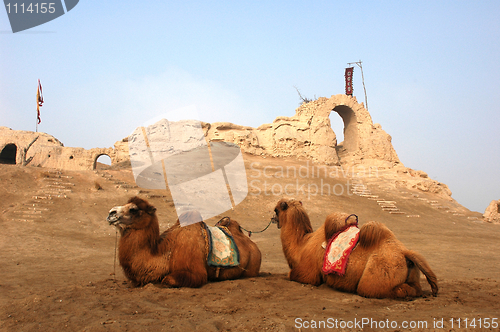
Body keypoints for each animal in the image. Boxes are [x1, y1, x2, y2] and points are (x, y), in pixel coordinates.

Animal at [106, 196, 262, 286]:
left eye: (133, 209)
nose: (111, 213)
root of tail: (254, 247)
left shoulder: (196, 272)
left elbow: (168, 280)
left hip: (252, 268)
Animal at [272, 198, 440, 300]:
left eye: (276, 210)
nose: (273, 219)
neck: (302, 244)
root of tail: (405, 253)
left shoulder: (308, 274)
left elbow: (291, 274)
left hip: (373, 279)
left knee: (385, 290)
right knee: (415, 288)